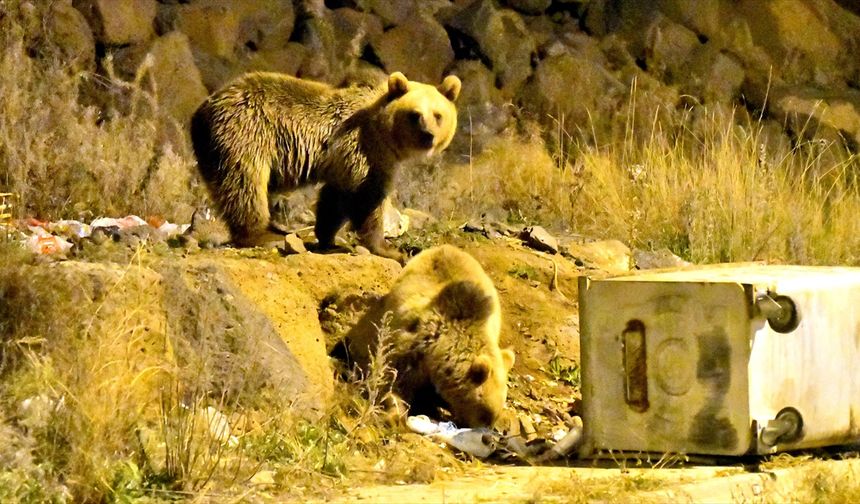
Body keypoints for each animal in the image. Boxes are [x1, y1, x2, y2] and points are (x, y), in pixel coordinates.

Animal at [191, 70, 460, 258]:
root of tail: (200, 112)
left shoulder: (344, 161)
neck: (384, 132)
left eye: (438, 115)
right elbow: (367, 199)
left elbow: (335, 199)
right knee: (245, 185)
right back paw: (264, 233)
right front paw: (387, 248)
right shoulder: (365, 150)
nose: (428, 136)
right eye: (415, 115)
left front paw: (328, 237)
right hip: (246, 133)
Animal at [342, 246, 516, 428]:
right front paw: (395, 411)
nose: (487, 429)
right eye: (485, 413)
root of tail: (444, 247)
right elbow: (394, 380)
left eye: (494, 414)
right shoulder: (414, 347)